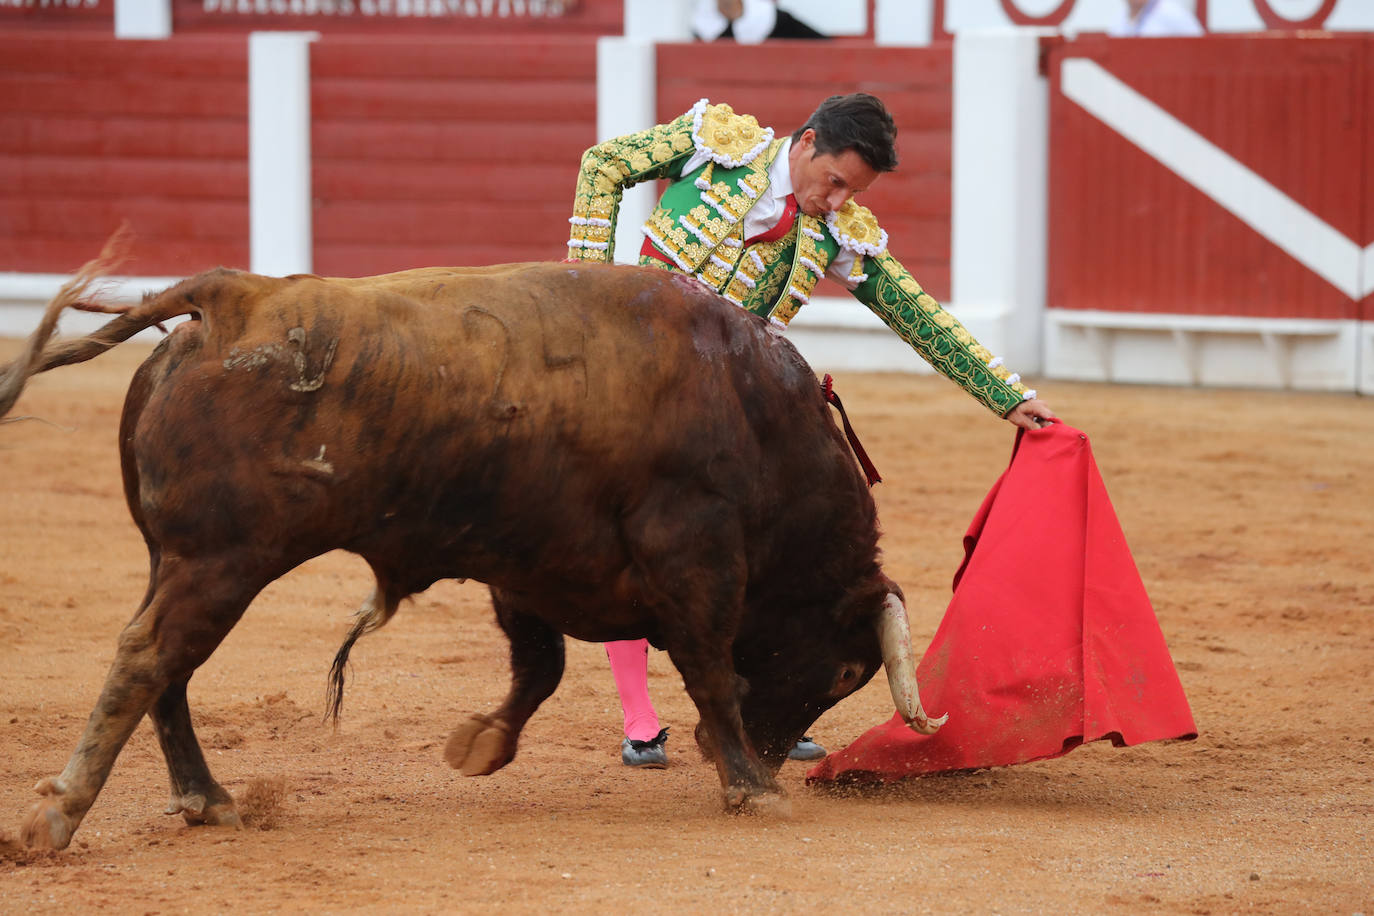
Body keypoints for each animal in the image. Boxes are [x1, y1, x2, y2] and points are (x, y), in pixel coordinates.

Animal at [0, 258, 939, 851]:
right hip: (221, 559)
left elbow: (540, 667)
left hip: (180, 561)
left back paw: (207, 799)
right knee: (148, 658)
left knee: (168, 668)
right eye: (844, 673)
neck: (755, 415)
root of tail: (230, 300)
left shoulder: (529, 559)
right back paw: (59, 818)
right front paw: (751, 788)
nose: (776, 754)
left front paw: (481, 745)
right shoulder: (694, 551)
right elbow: (705, 666)